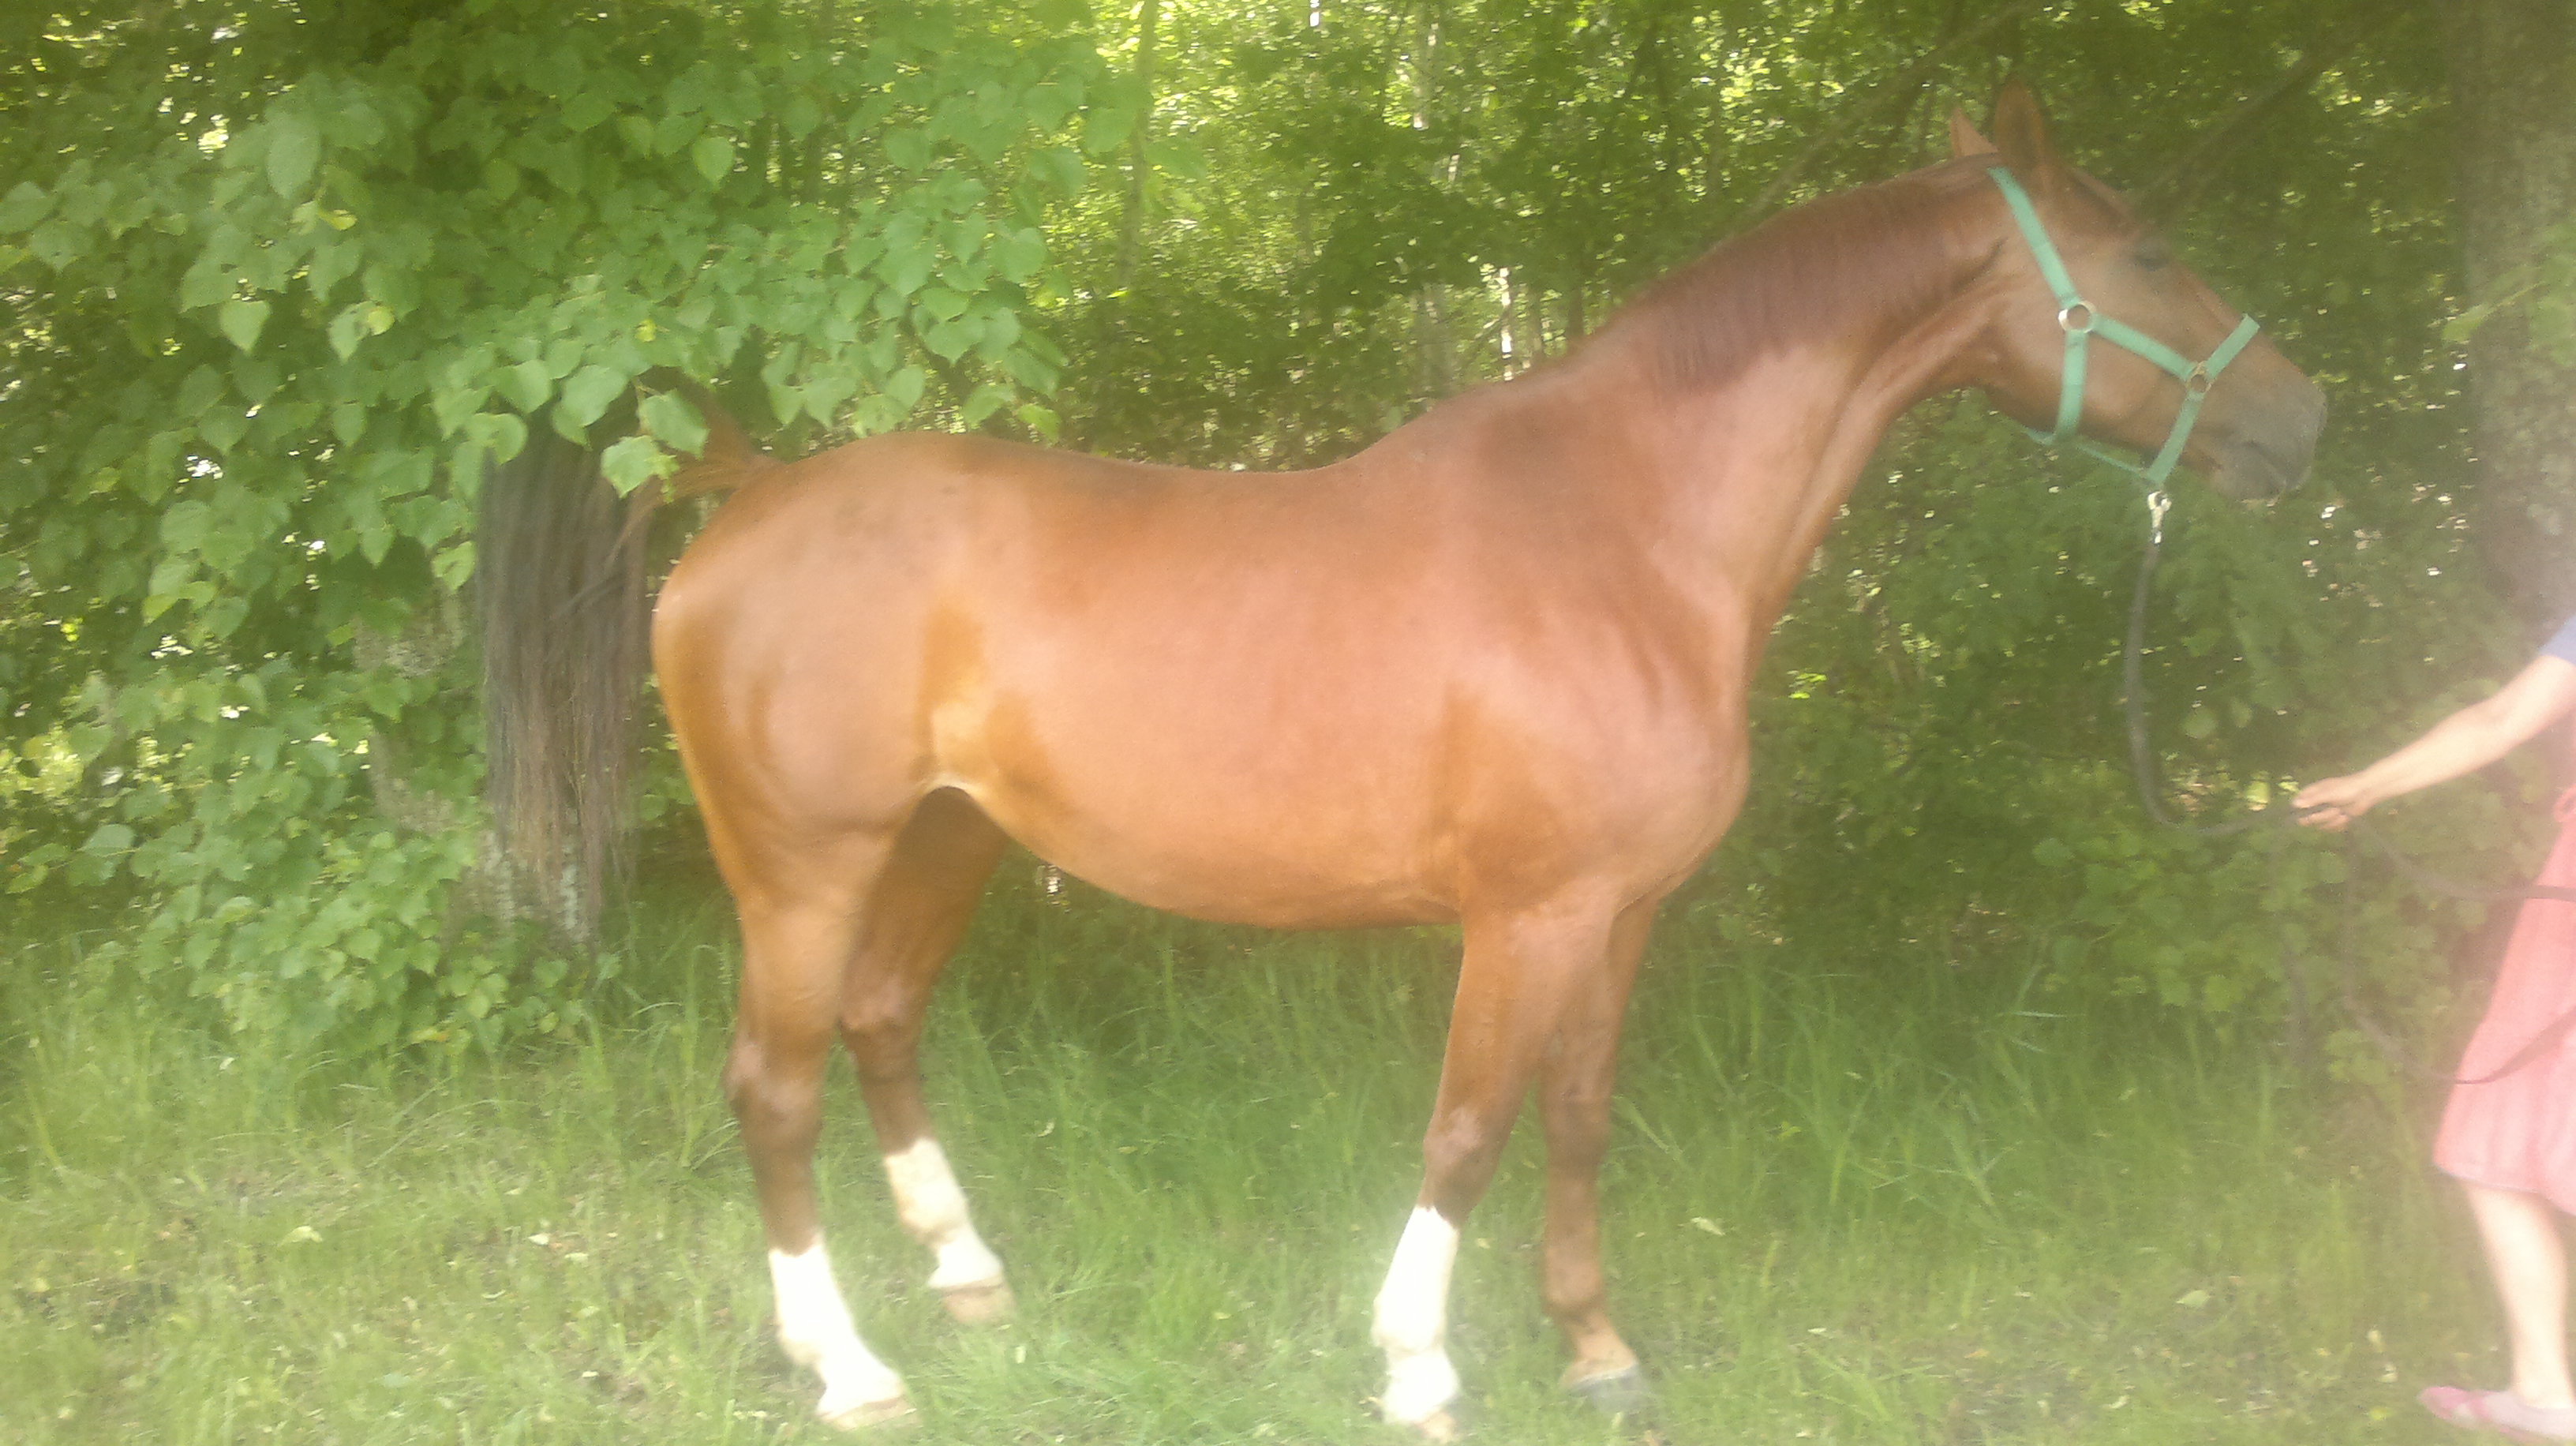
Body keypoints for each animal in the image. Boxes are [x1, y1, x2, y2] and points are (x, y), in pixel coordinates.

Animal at [631, 83, 2323, 1436]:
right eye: (2147, 256)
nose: (2299, 419)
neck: (1626, 531)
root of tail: (749, 504)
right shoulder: (1527, 915)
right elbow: (1466, 1130)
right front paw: (1417, 1364)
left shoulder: (1620, 912)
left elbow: (1574, 1114)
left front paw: (1596, 1348)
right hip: (804, 870)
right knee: (773, 1086)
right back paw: (851, 1366)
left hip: (946, 837)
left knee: (880, 1020)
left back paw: (968, 1279)